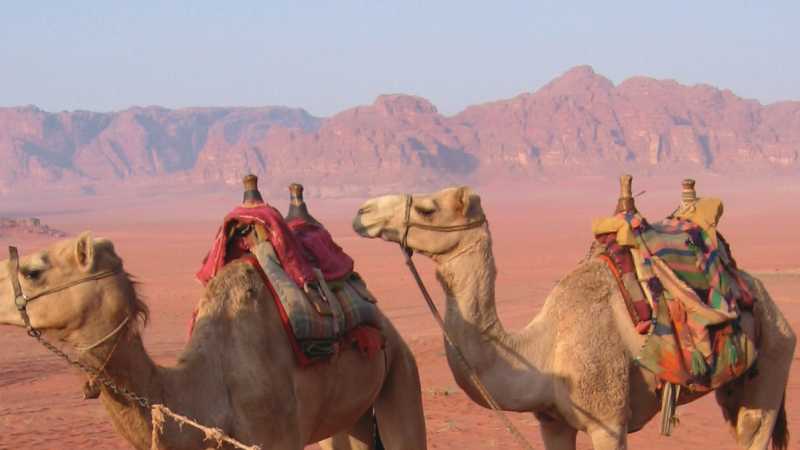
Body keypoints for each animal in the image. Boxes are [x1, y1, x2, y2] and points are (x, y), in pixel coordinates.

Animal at [352, 186, 795, 450]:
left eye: (428, 208)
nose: (363, 212)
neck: (543, 350)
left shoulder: (608, 422)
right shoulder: (552, 421)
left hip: (775, 356)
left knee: (756, 428)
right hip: (737, 385)